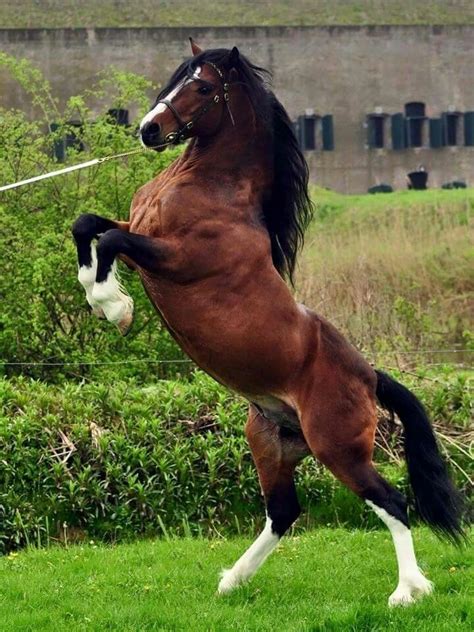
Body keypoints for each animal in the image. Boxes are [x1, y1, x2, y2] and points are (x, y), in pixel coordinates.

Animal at [70, 40, 462, 608]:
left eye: (202, 87)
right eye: (175, 77)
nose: (148, 130)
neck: (211, 189)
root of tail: (369, 376)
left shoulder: (176, 257)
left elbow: (112, 241)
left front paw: (113, 304)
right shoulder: (138, 230)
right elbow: (89, 226)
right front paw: (99, 294)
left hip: (340, 449)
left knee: (392, 500)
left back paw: (407, 592)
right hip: (269, 442)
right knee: (283, 512)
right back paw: (232, 581)